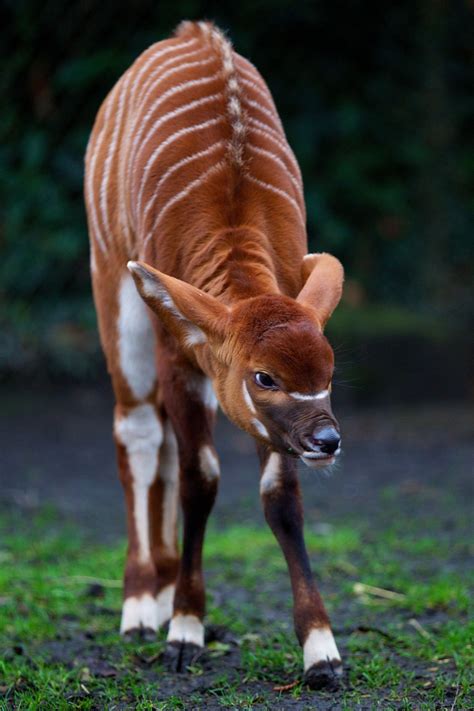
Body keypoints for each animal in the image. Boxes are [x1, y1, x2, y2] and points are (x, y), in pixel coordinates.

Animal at [84, 20, 344, 688]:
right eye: (265, 377)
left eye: (329, 373)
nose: (328, 441)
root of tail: (190, 31)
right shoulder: (179, 352)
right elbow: (201, 479)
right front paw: (183, 633)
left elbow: (280, 496)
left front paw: (322, 652)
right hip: (114, 285)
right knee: (139, 428)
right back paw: (140, 607)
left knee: (163, 444)